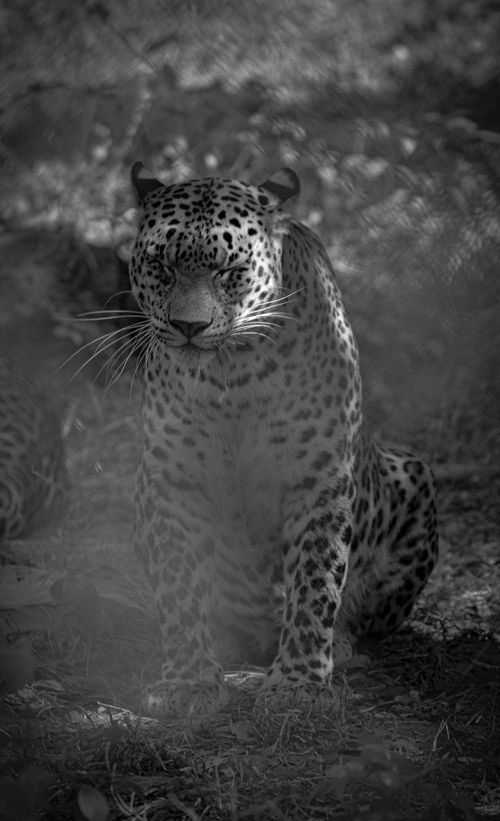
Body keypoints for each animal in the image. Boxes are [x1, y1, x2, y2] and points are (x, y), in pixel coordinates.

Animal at [128, 162, 439, 716]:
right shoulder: (173, 477)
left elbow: (315, 579)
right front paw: (188, 679)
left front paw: (298, 681)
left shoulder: (319, 476)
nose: (189, 326)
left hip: (413, 476)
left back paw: (336, 646)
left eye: (228, 271)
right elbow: (179, 582)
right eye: (161, 264)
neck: (232, 372)